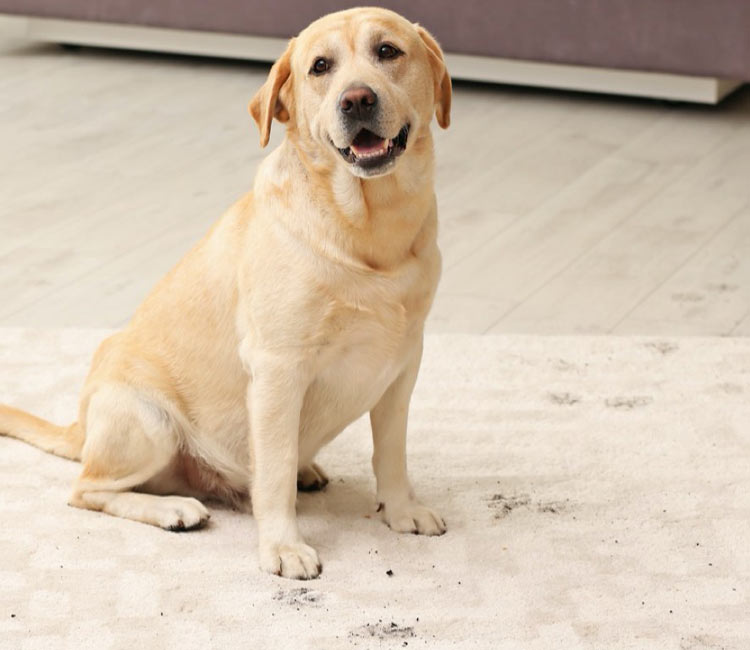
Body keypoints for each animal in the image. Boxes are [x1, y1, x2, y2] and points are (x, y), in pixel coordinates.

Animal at [0, 7, 452, 576]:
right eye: (320, 67)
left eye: (388, 51)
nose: (356, 99)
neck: (368, 230)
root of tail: (80, 427)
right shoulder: (278, 369)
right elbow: (274, 474)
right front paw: (282, 545)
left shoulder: (403, 364)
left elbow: (391, 453)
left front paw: (401, 509)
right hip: (148, 421)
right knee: (86, 489)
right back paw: (173, 508)